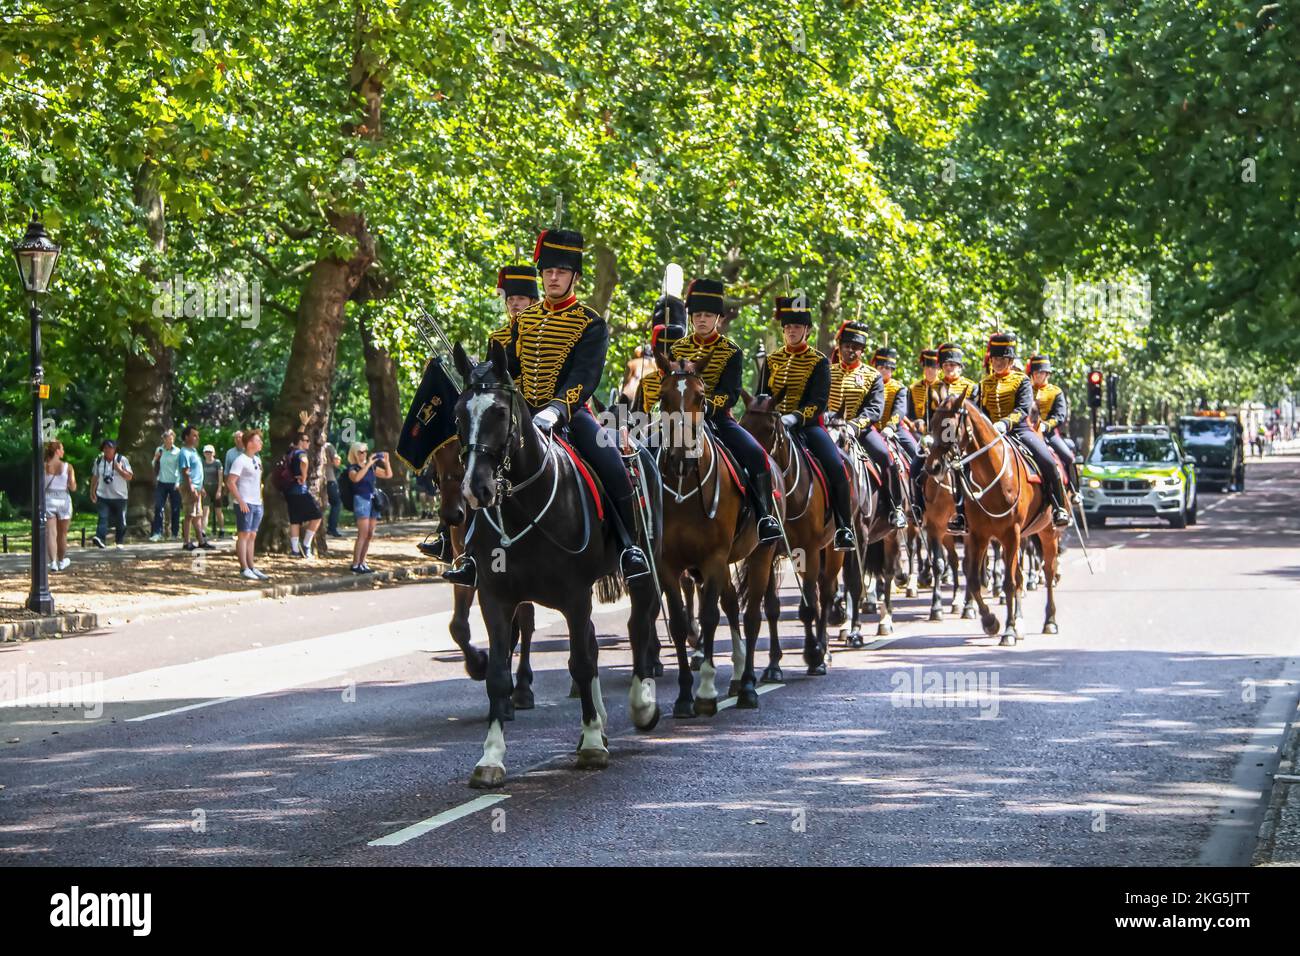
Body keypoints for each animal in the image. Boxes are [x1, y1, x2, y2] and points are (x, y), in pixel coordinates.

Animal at [454, 340, 660, 790]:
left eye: (499, 412)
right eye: (459, 413)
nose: (475, 490)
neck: (522, 507)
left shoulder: (574, 594)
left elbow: (581, 663)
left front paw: (592, 744)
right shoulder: (495, 598)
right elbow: (498, 676)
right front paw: (491, 757)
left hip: (648, 564)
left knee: (639, 623)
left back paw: (641, 704)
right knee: (597, 642)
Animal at [650, 356, 780, 712]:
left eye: (700, 396)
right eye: (663, 396)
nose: (681, 455)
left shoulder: (714, 558)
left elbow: (709, 617)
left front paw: (706, 692)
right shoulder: (668, 564)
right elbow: (680, 624)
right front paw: (684, 696)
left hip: (760, 554)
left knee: (751, 616)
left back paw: (747, 685)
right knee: (733, 605)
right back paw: (736, 675)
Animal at [738, 390, 847, 681]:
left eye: (768, 429)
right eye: (742, 425)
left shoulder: (808, 550)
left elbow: (808, 607)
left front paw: (814, 656)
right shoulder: (770, 552)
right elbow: (772, 608)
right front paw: (773, 665)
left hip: (831, 550)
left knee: (825, 593)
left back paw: (823, 649)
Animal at [920, 392, 1060, 647]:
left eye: (950, 427)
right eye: (932, 424)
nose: (932, 467)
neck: (992, 477)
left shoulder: (1011, 534)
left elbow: (1008, 584)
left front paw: (1009, 630)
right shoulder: (977, 535)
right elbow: (974, 579)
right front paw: (990, 621)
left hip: (1047, 532)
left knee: (1048, 571)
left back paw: (1050, 621)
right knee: (1019, 575)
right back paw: (1020, 621)